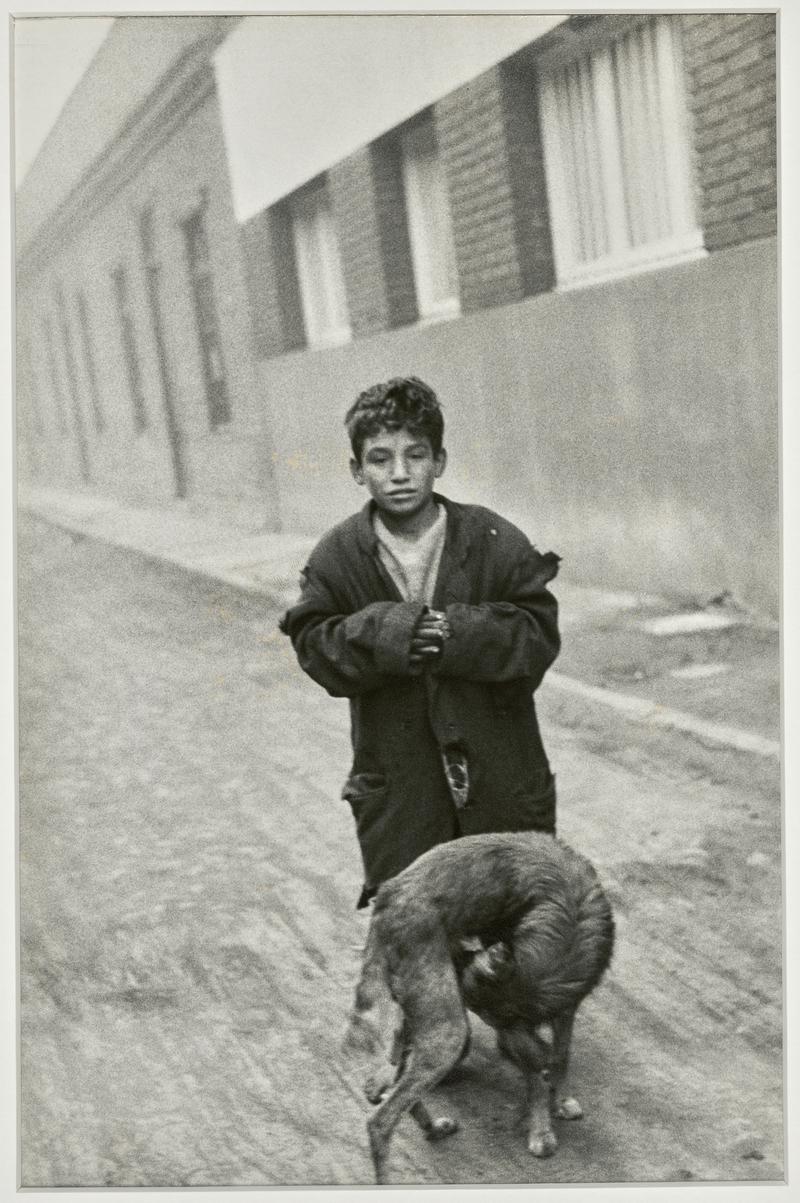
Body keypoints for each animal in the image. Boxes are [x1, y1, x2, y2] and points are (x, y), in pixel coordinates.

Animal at [341, 827, 611, 1183]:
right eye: (491, 1018)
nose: (508, 1047)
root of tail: (387, 897)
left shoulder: (558, 1008)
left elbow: (560, 1055)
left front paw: (557, 1098)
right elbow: (547, 1064)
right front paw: (542, 1127)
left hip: (428, 1008)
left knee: (402, 1079)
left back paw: (431, 1126)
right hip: (448, 1028)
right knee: (381, 1121)